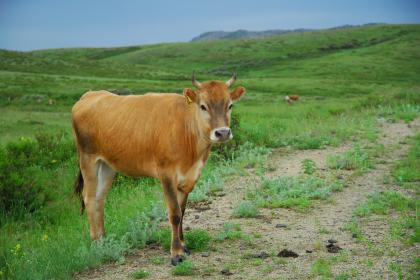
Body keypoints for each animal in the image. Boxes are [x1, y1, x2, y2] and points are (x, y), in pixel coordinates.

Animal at [71, 72, 244, 264]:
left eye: (230, 105)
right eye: (203, 106)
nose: (222, 133)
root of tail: (89, 94)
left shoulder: (187, 178)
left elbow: (182, 211)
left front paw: (183, 245)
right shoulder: (166, 174)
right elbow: (175, 213)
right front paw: (176, 253)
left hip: (107, 165)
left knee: (99, 198)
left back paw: (104, 241)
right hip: (88, 160)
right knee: (90, 198)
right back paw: (97, 244)